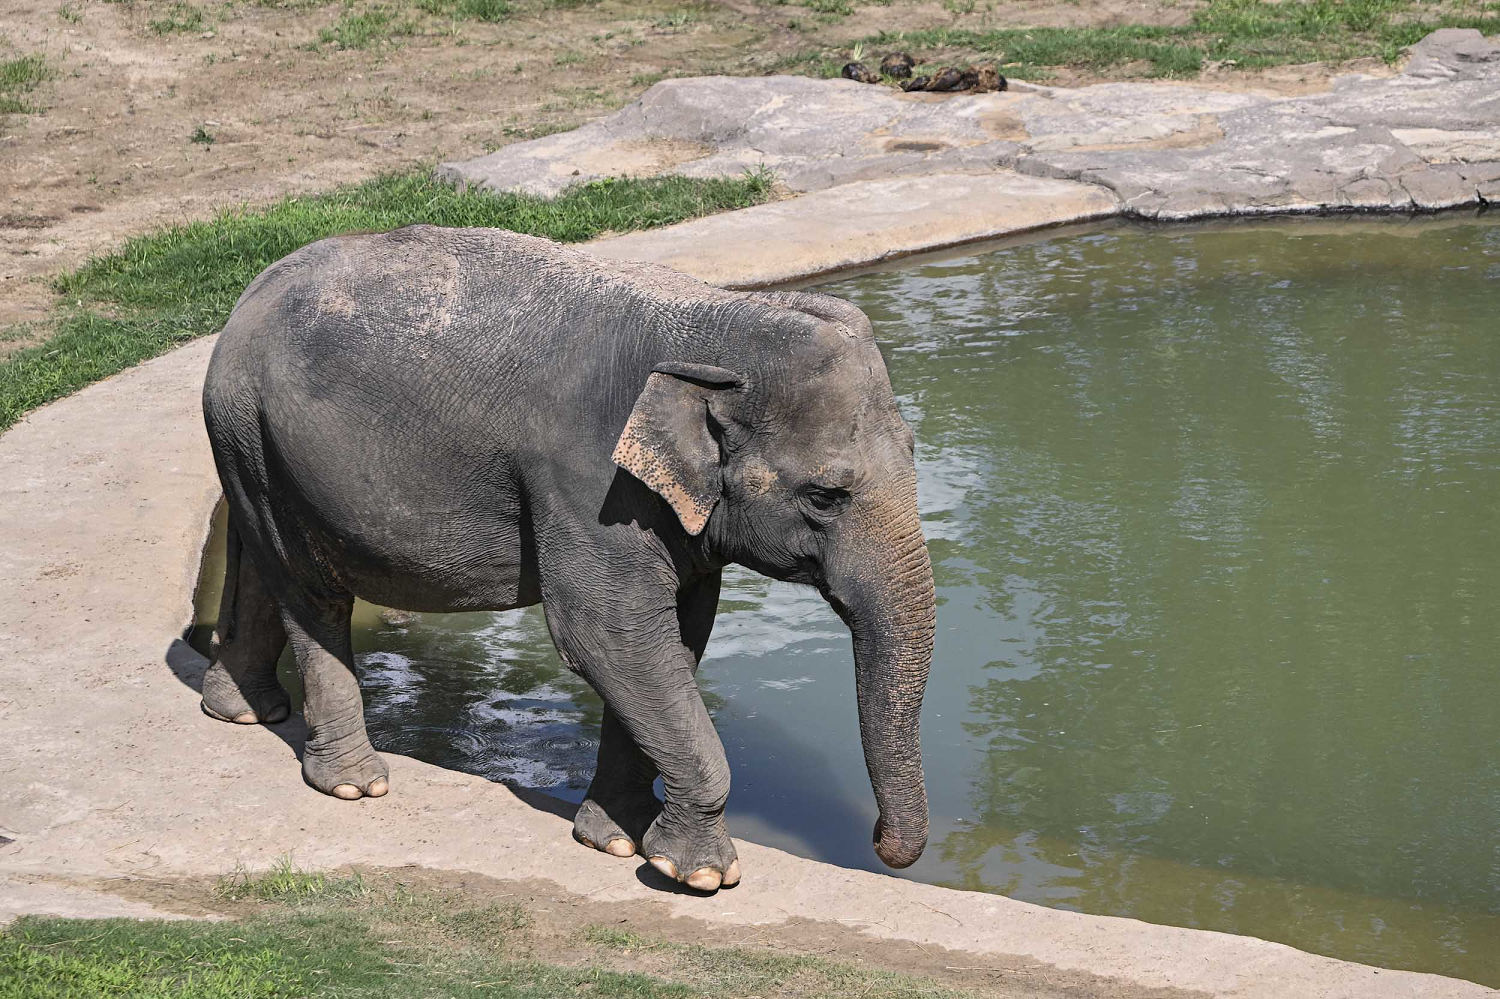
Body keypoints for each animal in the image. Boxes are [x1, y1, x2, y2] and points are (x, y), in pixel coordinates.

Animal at [199, 224, 935, 892]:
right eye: (824, 495)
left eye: (914, 451)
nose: (879, 841)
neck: (716, 319)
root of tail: (243, 301)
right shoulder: (588, 483)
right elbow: (607, 635)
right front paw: (696, 873)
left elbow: (674, 635)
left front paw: (614, 840)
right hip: (257, 431)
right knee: (310, 587)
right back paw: (354, 784)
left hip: (250, 445)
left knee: (258, 556)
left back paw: (242, 711)